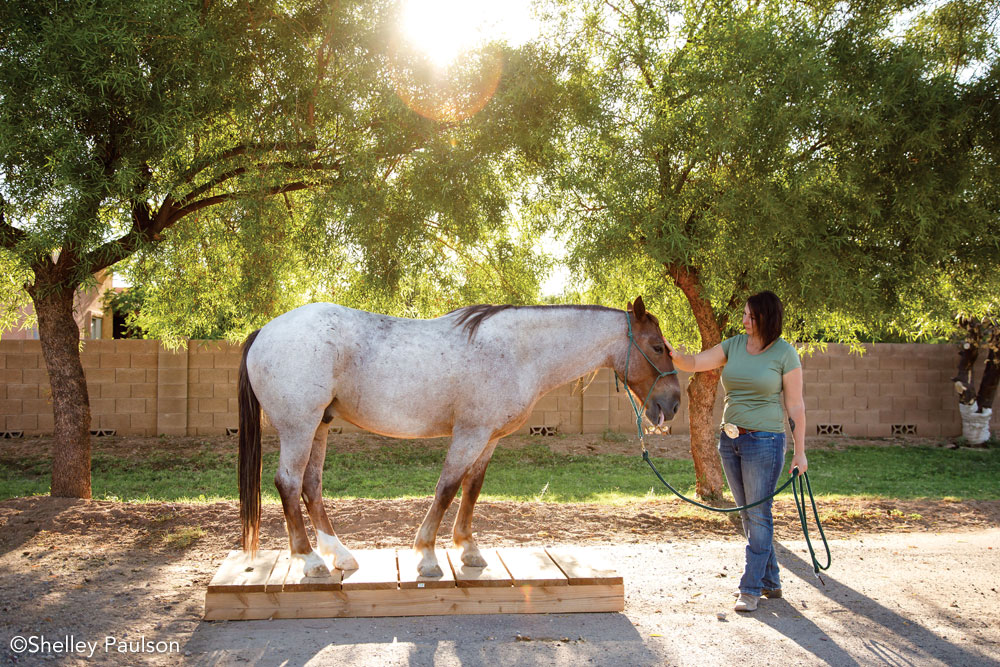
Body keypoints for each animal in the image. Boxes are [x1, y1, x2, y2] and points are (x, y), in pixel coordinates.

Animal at [238, 298, 684, 580]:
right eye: (657, 346)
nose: (673, 403)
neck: (518, 352)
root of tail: (265, 331)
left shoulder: (489, 438)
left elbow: (472, 487)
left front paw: (468, 550)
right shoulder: (470, 434)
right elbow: (448, 487)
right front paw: (427, 555)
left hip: (320, 427)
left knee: (311, 486)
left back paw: (340, 556)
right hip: (299, 427)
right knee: (289, 483)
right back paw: (310, 560)